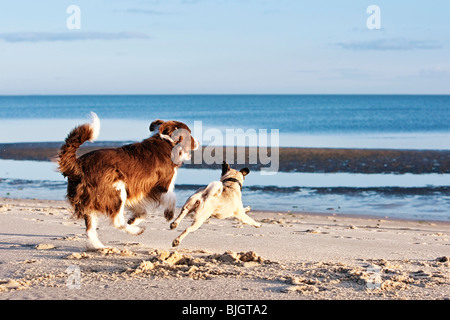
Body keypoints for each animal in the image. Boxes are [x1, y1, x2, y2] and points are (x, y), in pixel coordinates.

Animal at [58, 112, 199, 250]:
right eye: (189, 133)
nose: (197, 143)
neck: (167, 142)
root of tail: (78, 166)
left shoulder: (136, 188)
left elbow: (142, 211)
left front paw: (134, 219)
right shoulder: (163, 184)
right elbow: (172, 197)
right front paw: (169, 214)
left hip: (95, 199)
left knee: (90, 230)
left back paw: (100, 246)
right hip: (116, 189)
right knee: (117, 221)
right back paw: (136, 231)